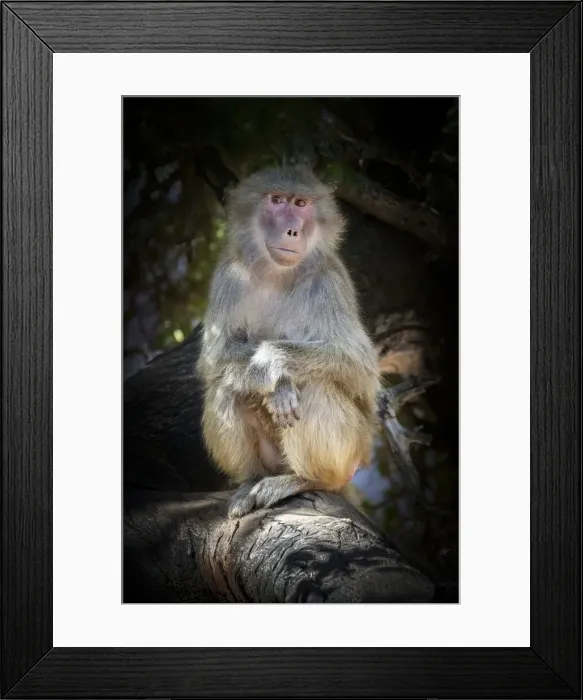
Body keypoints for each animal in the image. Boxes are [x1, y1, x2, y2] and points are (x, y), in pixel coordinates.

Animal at [196, 166, 381, 518]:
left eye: (301, 203)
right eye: (277, 200)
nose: (292, 231)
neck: (278, 275)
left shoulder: (328, 281)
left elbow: (357, 364)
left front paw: (271, 364)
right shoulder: (229, 273)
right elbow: (216, 357)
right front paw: (277, 386)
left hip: (353, 449)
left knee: (315, 387)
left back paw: (308, 478)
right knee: (227, 385)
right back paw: (250, 480)